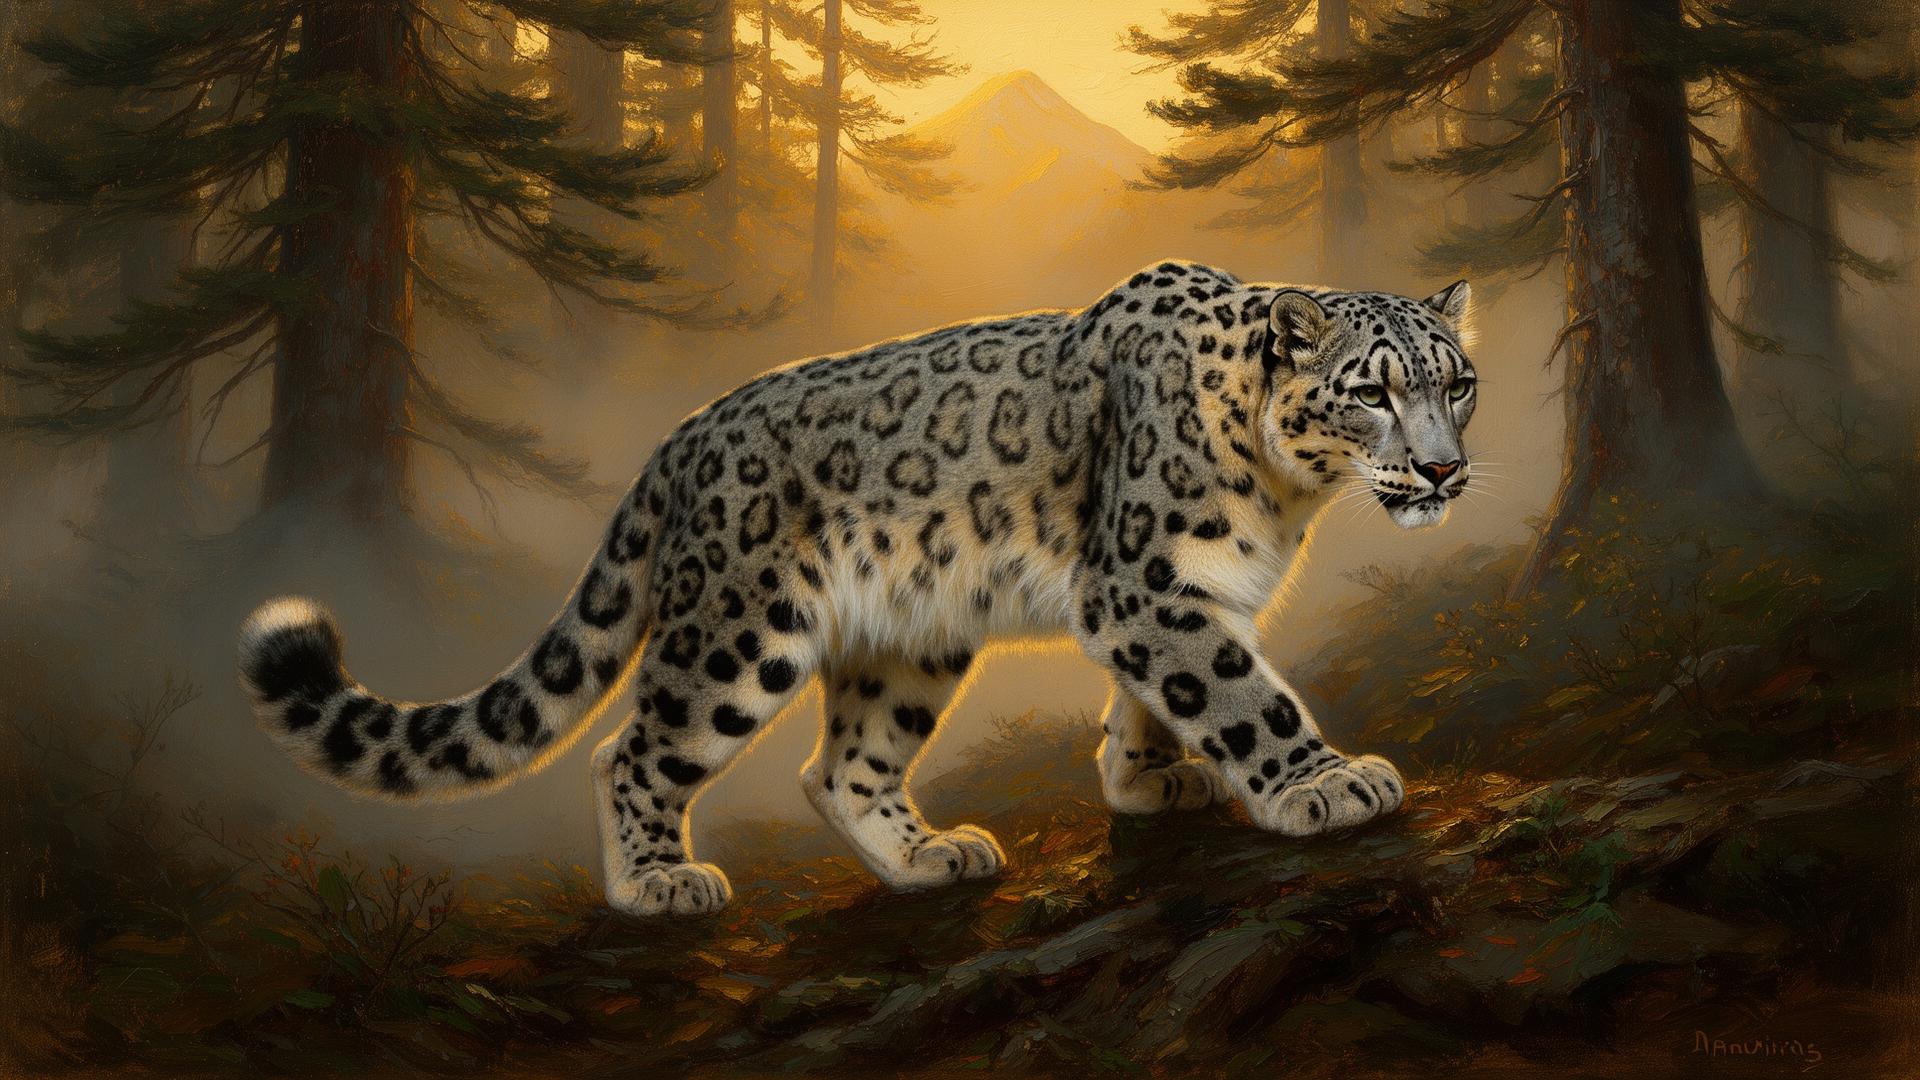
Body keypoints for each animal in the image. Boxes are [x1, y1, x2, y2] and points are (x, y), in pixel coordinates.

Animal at [238, 260, 1478, 917]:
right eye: (1371, 391)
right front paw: (1325, 783)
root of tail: (677, 442)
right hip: (736, 636)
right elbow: (1237, 690)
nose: (1441, 470)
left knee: (842, 765)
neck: (1290, 496)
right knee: (632, 749)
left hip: (909, 644)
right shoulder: (1143, 584)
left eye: (1458, 382)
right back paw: (658, 884)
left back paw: (929, 857)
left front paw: (1145, 778)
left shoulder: (1175, 598)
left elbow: (1169, 692)